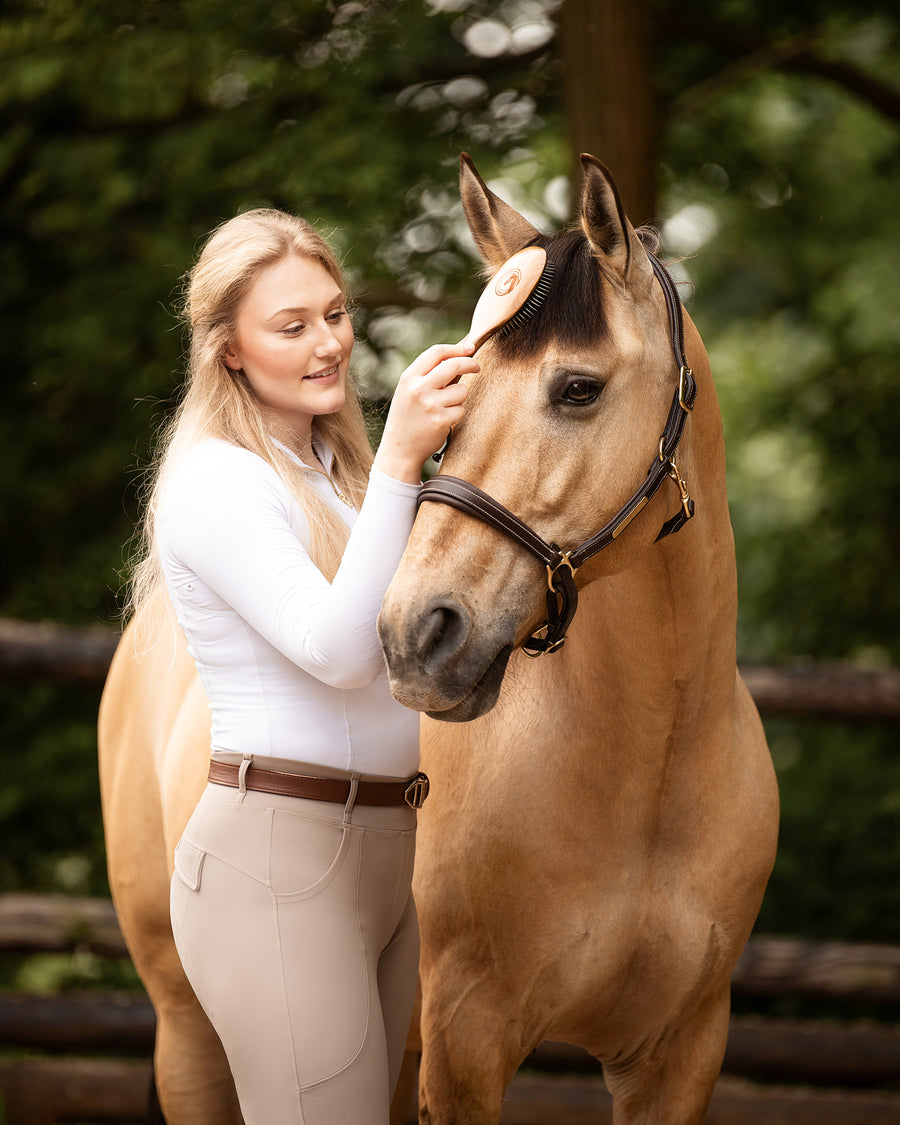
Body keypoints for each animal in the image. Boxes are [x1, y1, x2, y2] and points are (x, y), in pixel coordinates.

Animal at [375, 153, 779, 1124]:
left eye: (579, 388)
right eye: (453, 391)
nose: (415, 633)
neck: (651, 768)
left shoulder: (680, 1053)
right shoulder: (465, 1048)